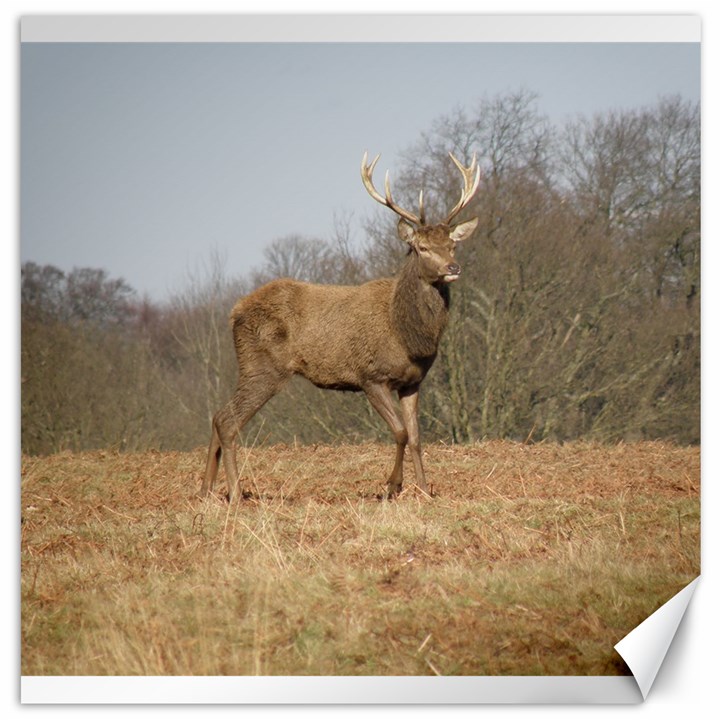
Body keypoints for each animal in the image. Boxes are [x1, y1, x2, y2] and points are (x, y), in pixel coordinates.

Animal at [198, 152, 478, 500]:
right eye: (422, 248)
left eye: (452, 245)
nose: (453, 267)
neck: (408, 336)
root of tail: (233, 312)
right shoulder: (371, 376)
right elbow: (400, 432)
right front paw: (392, 486)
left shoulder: (413, 382)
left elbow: (415, 438)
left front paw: (425, 490)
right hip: (262, 367)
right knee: (226, 420)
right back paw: (236, 493)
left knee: (217, 416)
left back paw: (206, 490)